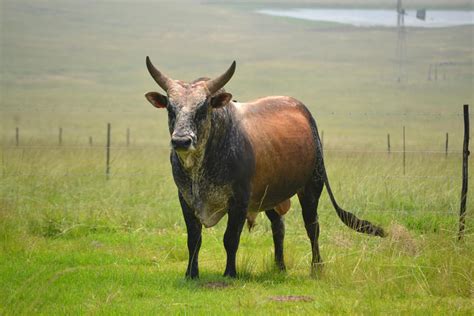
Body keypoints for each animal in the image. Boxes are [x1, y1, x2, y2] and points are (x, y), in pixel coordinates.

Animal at [144, 57, 386, 278]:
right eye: (170, 108)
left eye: (203, 108)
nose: (181, 141)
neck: (201, 165)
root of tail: (303, 111)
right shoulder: (186, 199)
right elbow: (194, 239)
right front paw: (191, 274)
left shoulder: (239, 201)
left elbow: (230, 238)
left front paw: (229, 273)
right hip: (271, 195)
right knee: (279, 228)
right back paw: (280, 267)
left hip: (312, 186)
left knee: (312, 227)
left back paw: (316, 268)